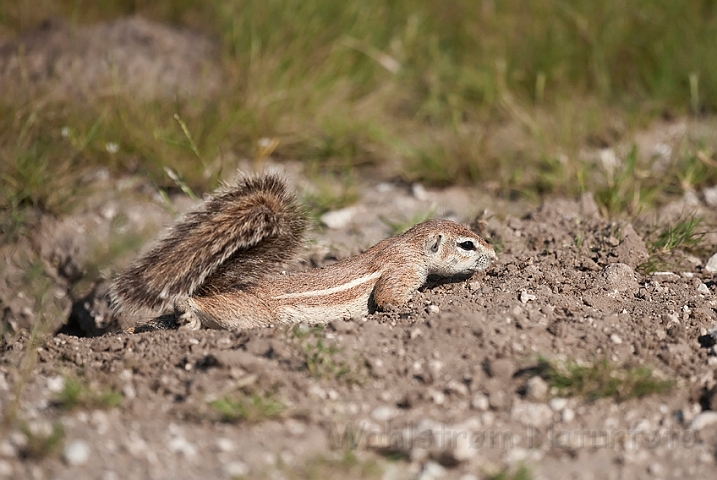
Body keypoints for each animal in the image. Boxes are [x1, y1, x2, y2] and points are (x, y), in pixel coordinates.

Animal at [109, 172, 496, 330]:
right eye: (467, 244)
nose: (494, 257)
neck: (409, 244)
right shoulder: (400, 271)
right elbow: (388, 299)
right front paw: (417, 301)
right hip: (251, 314)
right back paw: (186, 312)